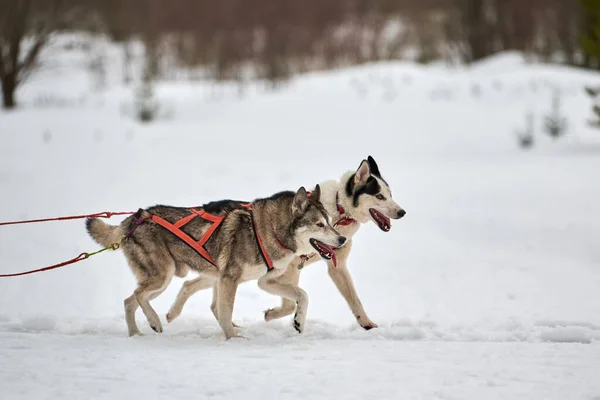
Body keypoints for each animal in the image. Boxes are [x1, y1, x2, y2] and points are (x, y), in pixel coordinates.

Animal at [86, 186, 344, 340]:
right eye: (319, 224)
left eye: (330, 222)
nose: (342, 239)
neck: (268, 230)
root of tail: (134, 219)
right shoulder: (230, 279)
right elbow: (225, 311)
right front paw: (233, 338)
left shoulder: (265, 280)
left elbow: (302, 295)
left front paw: (298, 321)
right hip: (163, 276)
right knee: (138, 296)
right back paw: (154, 321)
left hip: (166, 280)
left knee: (129, 301)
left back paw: (136, 333)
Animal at [166, 156, 406, 332]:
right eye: (380, 196)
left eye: (390, 194)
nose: (402, 212)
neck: (339, 209)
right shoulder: (288, 269)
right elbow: (291, 301)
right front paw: (277, 315)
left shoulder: (336, 266)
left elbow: (354, 299)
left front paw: (366, 323)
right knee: (195, 288)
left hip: (216, 273)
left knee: (191, 287)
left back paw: (174, 314)